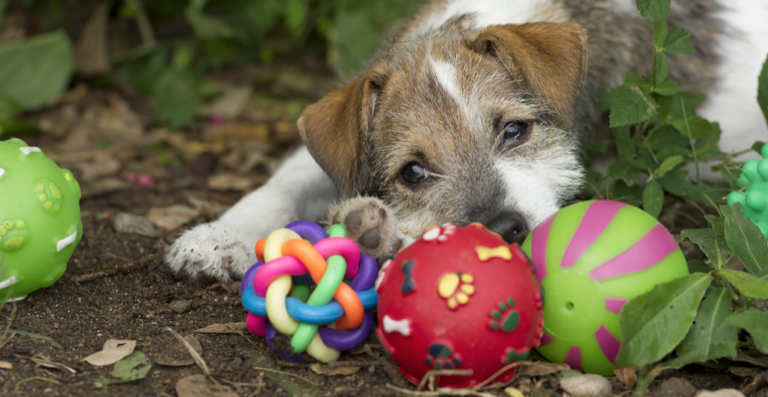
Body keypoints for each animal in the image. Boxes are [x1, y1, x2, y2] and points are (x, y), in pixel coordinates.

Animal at [166, 0, 768, 282]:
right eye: (413, 171)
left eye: (514, 130)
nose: (504, 229)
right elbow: (286, 179)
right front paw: (217, 236)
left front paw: (380, 232)